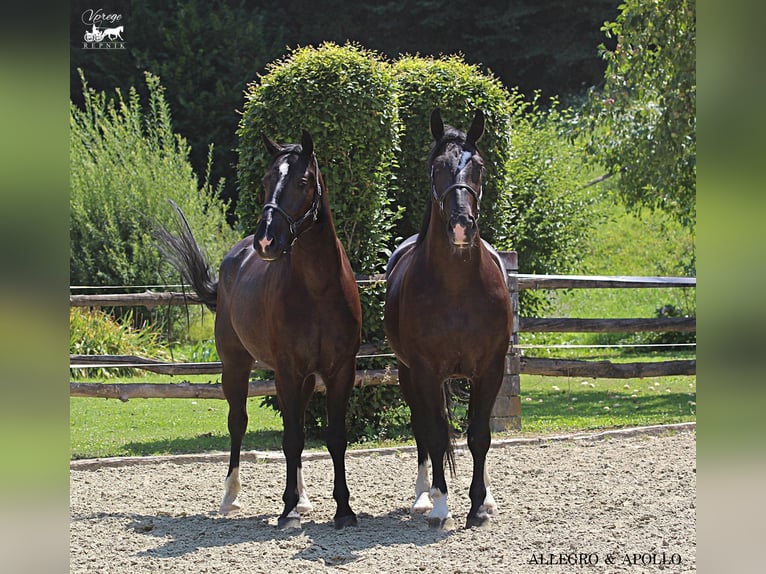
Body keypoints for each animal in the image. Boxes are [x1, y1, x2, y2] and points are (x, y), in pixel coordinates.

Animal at [155, 132, 364, 532]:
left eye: (302, 181)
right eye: (266, 180)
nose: (266, 241)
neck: (319, 288)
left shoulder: (339, 371)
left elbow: (333, 437)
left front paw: (343, 510)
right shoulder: (286, 370)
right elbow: (290, 440)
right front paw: (287, 510)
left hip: (302, 379)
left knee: (297, 425)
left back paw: (305, 499)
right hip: (236, 366)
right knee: (238, 423)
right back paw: (231, 498)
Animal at [388, 109, 512, 532]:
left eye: (479, 167)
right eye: (436, 168)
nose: (461, 225)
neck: (457, 289)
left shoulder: (491, 368)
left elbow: (479, 435)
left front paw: (479, 506)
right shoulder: (425, 371)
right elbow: (437, 434)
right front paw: (441, 506)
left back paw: (488, 498)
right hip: (408, 376)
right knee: (423, 432)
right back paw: (423, 497)